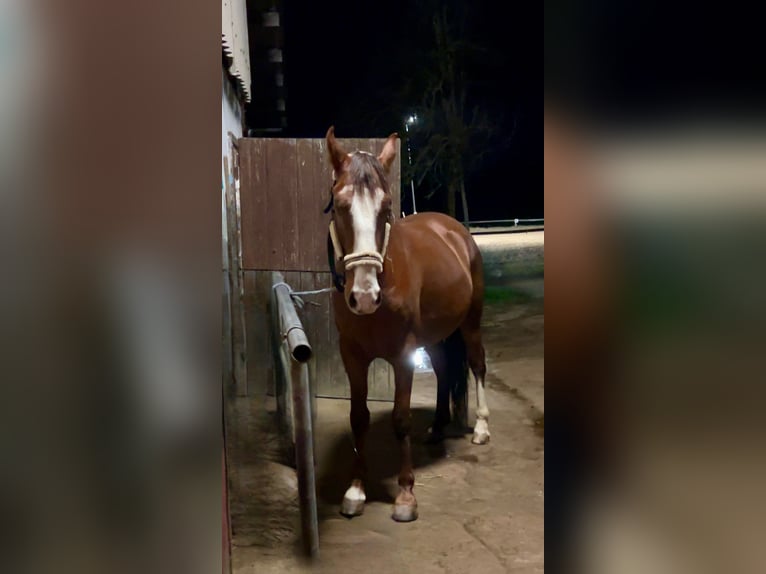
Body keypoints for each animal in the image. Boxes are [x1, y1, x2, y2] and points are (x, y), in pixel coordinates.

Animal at [324, 128, 492, 524]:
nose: (364, 297)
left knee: (477, 364)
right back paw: (438, 427)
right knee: (445, 369)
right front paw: (355, 490)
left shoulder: (403, 355)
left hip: (470, 323)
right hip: (435, 335)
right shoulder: (352, 356)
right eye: (339, 206)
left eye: (386, 208)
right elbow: (358, 417)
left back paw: (480, 427)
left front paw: (405, 495)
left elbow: (400, 419)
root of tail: (453, 229)